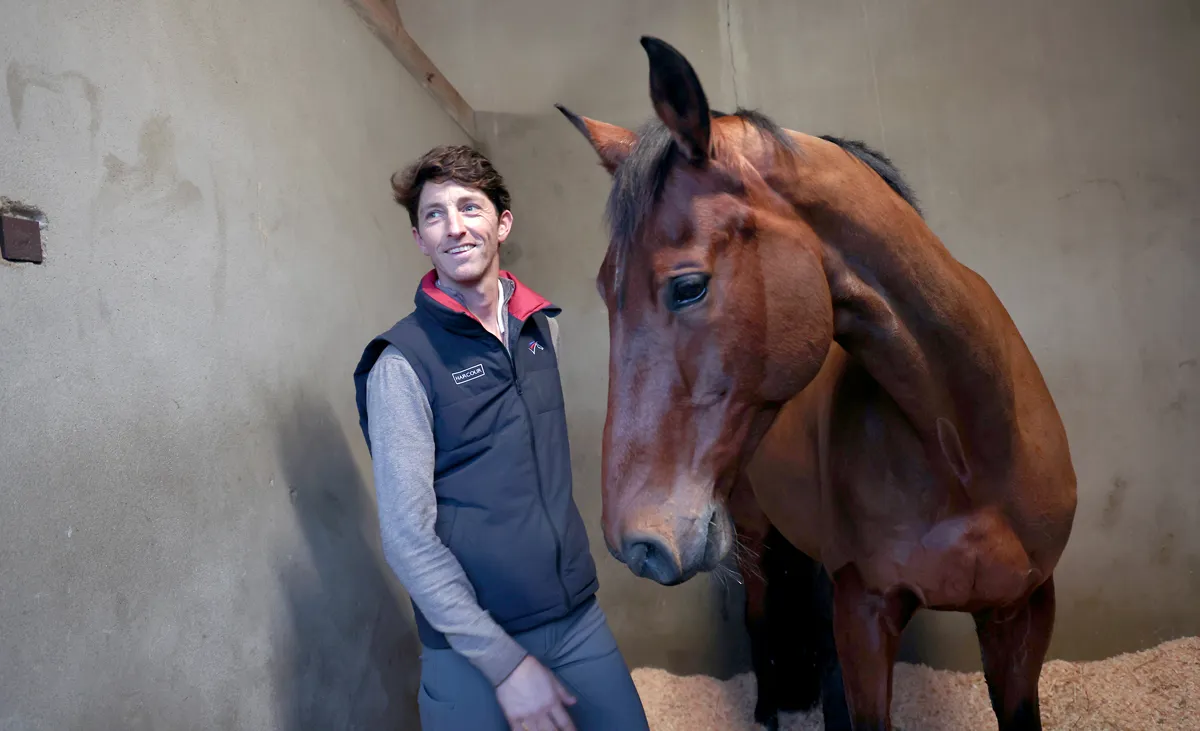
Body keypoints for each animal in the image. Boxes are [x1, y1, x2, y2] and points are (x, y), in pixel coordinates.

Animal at [555, 36, 1078, 731]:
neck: (965, 446)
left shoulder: (1022, 612)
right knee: (759, 620)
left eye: (687, 286)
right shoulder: (865, 611)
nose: (635, 543)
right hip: (753, 534)